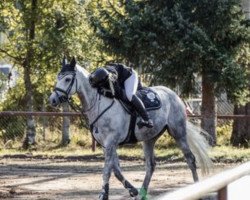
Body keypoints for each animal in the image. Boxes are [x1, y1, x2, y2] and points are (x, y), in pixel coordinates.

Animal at [49, 57, 212, 200]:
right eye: (58, 77)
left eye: (67, 79)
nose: (53, 100)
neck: (99, 103)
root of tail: (174, 95)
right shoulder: (106, 145)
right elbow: (116, 170)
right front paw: (132, 190)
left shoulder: (111, 141)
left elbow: (107, 170)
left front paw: (103, 195)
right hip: (149, 138)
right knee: (150, 165)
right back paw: (142, 193)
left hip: (178, 132)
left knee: (190, 159)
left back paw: (197, 188)